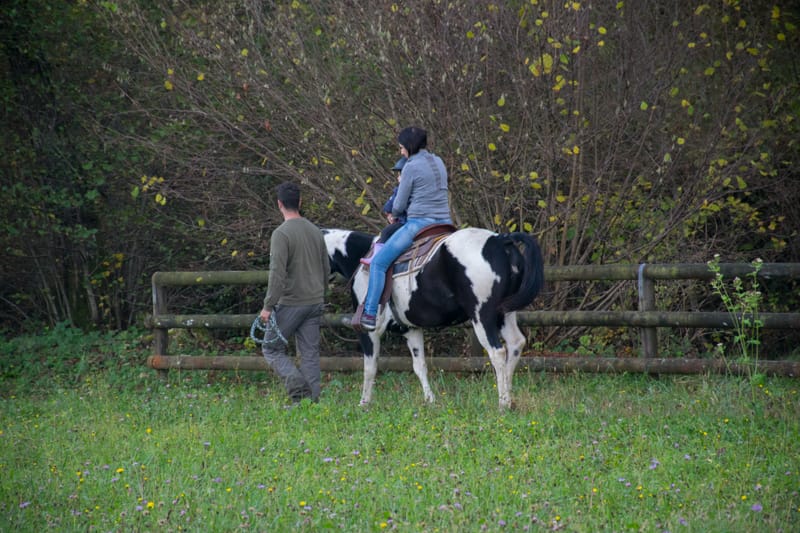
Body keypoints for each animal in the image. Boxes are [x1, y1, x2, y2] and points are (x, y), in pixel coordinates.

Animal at [324, 224, 544, 408]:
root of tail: (500, 240)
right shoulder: (411, 330)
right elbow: (419, 365)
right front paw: (430, 400)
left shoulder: (369, 332)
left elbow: (370, 367)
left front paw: (364, 403)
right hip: (504, 313)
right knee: (516, 344)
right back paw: (509, 396)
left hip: (483, 316)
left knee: (497, 352)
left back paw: (502, 403)